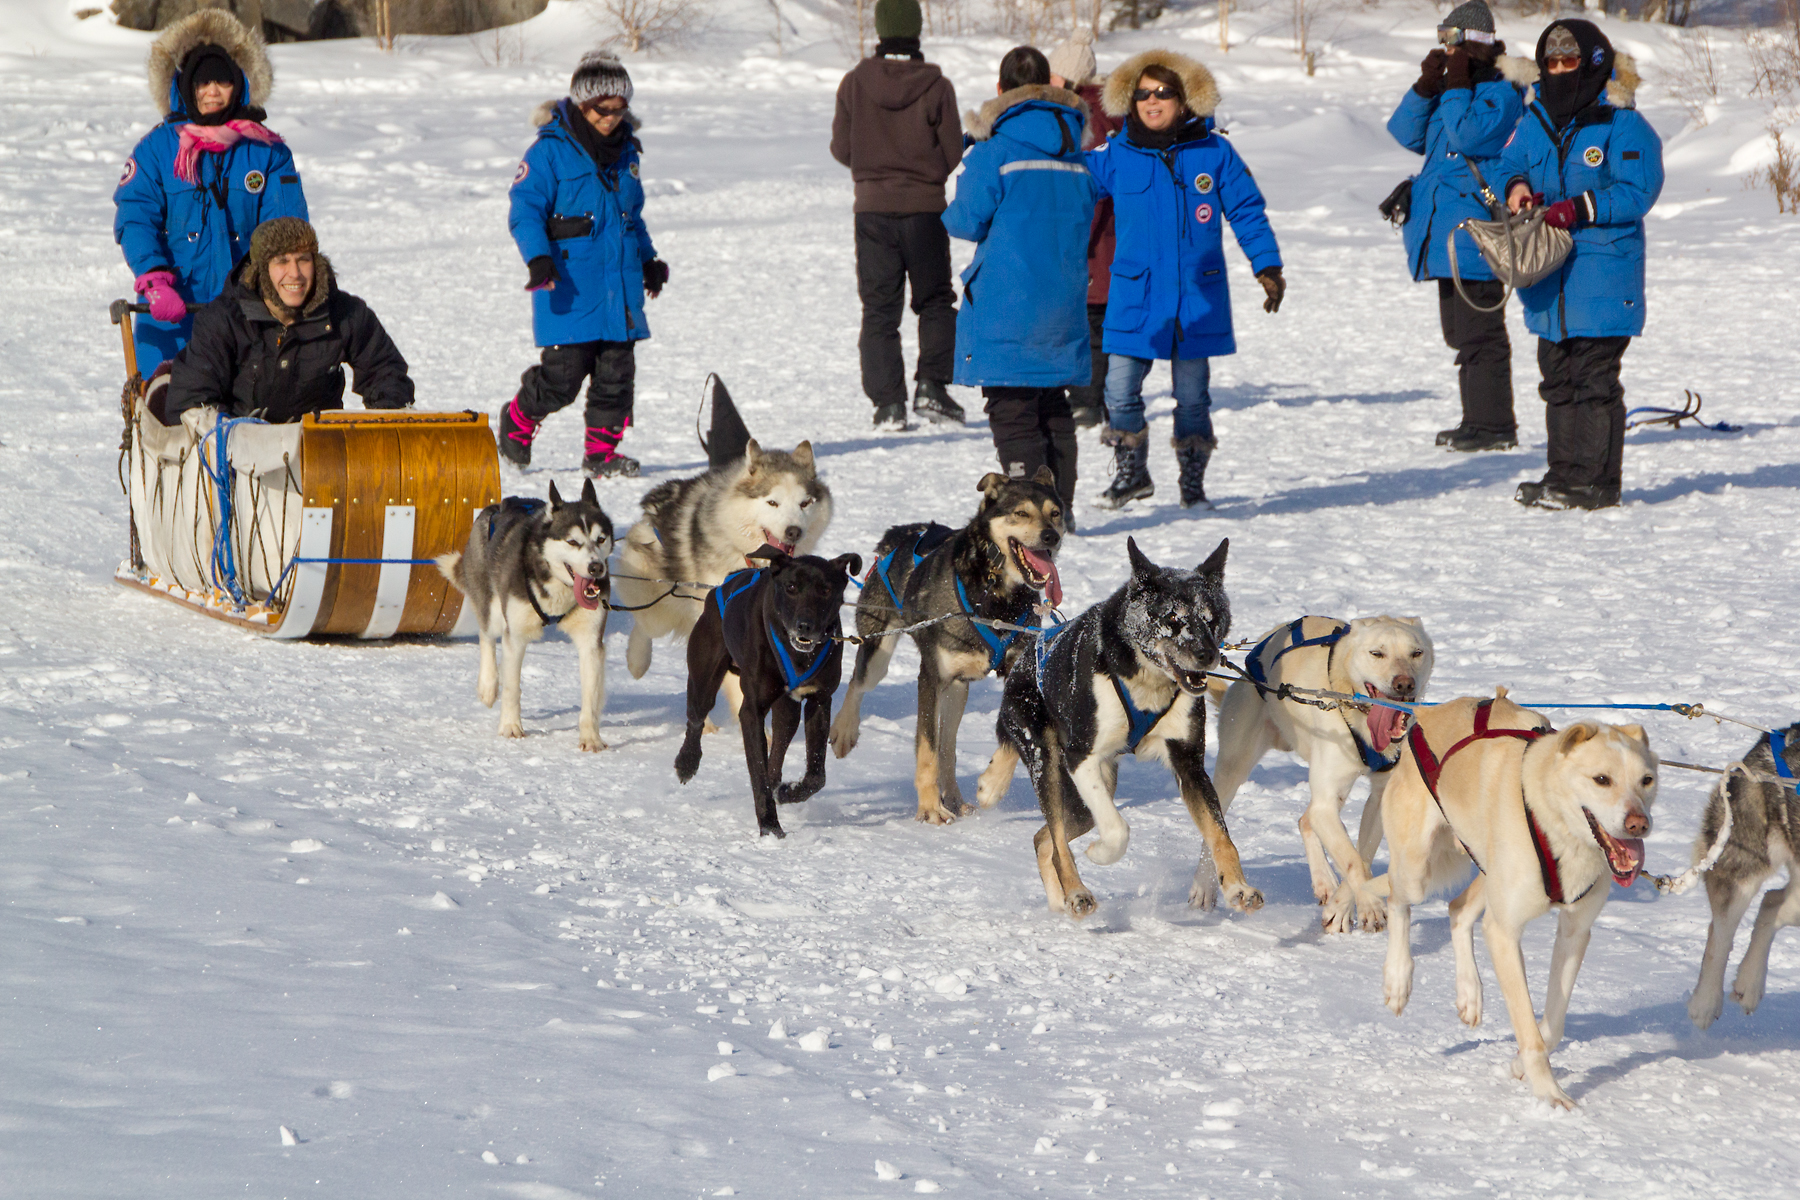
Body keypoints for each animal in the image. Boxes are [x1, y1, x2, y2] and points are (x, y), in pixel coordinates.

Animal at [676, 543, 867, 834]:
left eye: (825, 590)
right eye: (791, 587)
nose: (805, 625)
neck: (797, 654)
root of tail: (724, 584)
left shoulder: (819, 700)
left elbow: (816, 775)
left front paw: (789, 791)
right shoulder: (752, 711)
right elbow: (759, 774)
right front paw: (770, 827)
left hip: (787, 710)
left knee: (777, 751)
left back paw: (780, 785)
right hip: (704, 676)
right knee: (696, 717)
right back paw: (687, 762)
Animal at [1195, 611, 1432, 928]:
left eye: (1416, 653)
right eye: (1377, 653)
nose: (1404, 683)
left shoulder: (1377, 797)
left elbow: (1360, 856)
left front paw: (1341, 909)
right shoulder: (1327, 801)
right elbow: (1353, 860)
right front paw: (1370, 905)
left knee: (1305, 819)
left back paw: (1324, 881)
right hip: (1234, 767)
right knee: (1213, 829)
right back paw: (1203, 886)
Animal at [1382, 690, 1648, 1115]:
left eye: (1647, 780)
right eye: (1602, 779)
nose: (1640, 823)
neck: (1555, 825)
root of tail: (1429, 712)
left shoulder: (1575, 932)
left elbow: (1552, 1026)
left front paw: (1521, 1065)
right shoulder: (1504, 933)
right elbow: (1529, 1029)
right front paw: (1549, 1092)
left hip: (1486, 869)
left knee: (1458, 910)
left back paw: (1469, 992)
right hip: (1416, 868)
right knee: (1397, 901)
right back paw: (1397, 978)